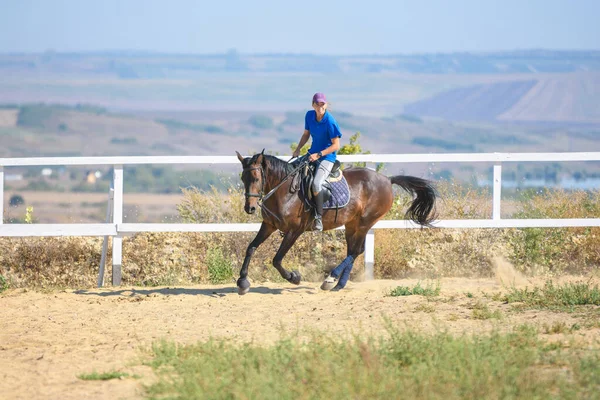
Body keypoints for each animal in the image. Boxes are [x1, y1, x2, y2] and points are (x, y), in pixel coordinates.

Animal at [234, 150, 436, 294]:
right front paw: (243, 282)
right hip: (351, 224)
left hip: (365, 222)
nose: (250, 208)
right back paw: (339, 284)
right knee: (354, 251)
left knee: (355, 251)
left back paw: (330, 279)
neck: (284, 192)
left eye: (257, 178)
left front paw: (294, 277)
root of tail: (388, 180)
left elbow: (276, 259)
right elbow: (251, 248)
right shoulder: (269, 225)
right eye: (243, 178)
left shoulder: (295, 231)